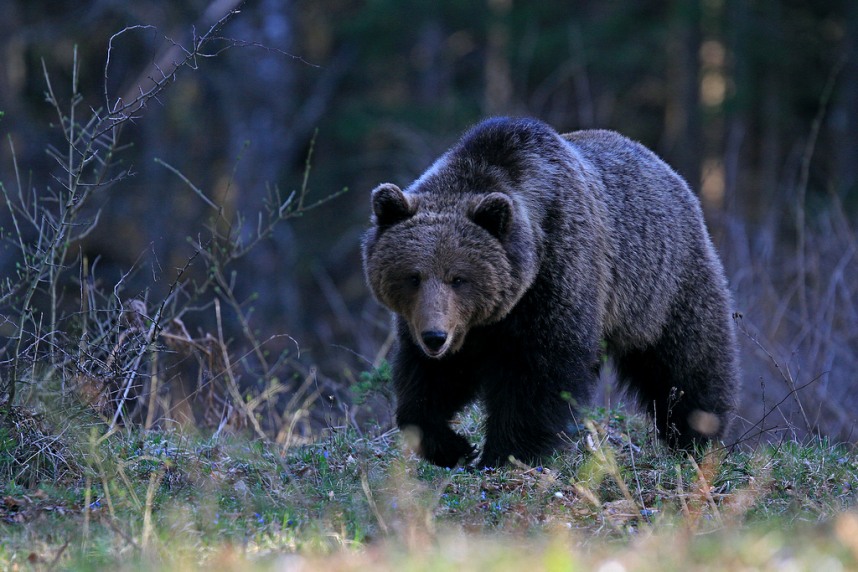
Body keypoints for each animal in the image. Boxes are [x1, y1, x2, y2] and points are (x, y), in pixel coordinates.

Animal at [360, 117, 736, 470]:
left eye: (459, 278)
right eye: (413, 276)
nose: (435, 337)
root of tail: (665, 167)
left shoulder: (556, 276)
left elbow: (540, 375)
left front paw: (505, 453)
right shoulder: (444, 324)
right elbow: (428, 383)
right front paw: (452, 445)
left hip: (662, 285)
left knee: (689, 362)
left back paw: (698, 435)